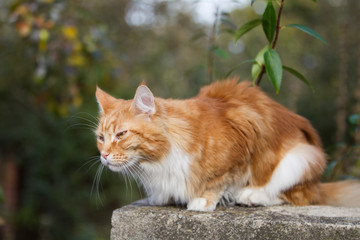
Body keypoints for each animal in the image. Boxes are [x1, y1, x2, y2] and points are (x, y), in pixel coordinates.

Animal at [95, 78, 360, 211]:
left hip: (301, 158)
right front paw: (162, 197)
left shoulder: (243, 138)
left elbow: (218, 180)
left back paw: (252, 195)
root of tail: (318, 184)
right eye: (100, 138)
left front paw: (204, 200)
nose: (104, 155)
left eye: (121, 134)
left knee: (296, 196)